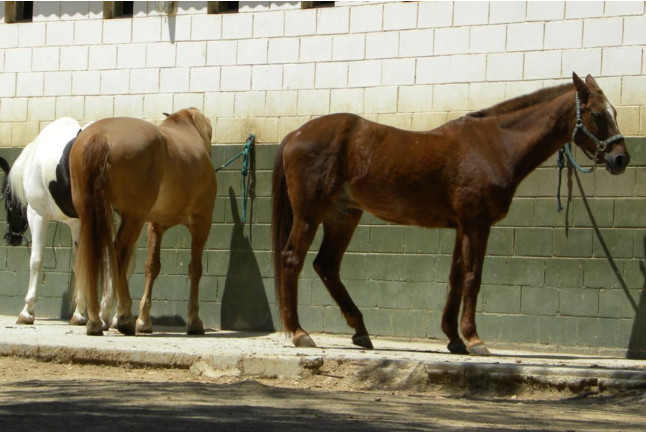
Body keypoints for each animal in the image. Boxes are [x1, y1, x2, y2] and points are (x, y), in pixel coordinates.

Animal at [0, 118, 114, 327]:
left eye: (7, 201)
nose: (11, 238)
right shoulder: (77, 223)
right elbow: (80, 263)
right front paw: (80, 314)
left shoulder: (37, 214)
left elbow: (36, 260)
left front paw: (27, 311)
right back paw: (107, 315)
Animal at [70, 107, 216, 336]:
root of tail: (100, 136)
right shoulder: (201, 222)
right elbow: (195, 269)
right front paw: (194, 321)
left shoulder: (155, 226)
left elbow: (152, 268)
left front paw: (144, 321)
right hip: (133, 217)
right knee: (118, 253)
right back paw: (123, 316)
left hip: (91, 214)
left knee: (94, 253)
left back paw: (95, 320)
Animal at [271, 73, 630, 356]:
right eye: (598, 114)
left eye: (613, 112)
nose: (621, 159)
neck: (496, 145)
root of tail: (294, 134)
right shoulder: (477, 224)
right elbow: (472, 277)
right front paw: (474, 339)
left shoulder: (462, 226)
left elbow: (455, 278)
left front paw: (454, 338)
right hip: (310, 214)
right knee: (292, 260)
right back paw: (300, 333)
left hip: (343, 216)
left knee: (327, 266)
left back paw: (360, 331)